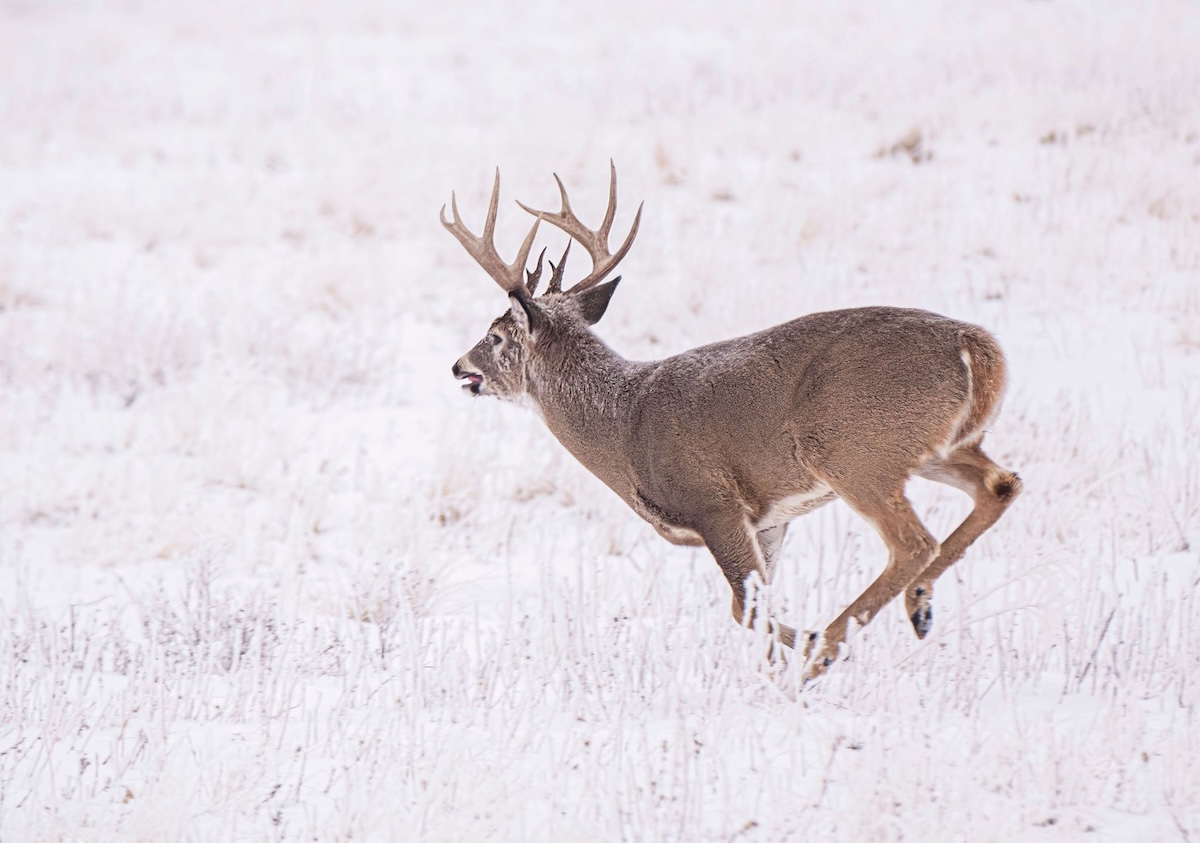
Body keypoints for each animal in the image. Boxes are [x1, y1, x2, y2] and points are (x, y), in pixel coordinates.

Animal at [443, 163, 1021, 679]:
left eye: (495, 336)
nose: (458, 366)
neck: (623, 427)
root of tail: (975, 344)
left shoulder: (713, 502)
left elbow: (745, 606)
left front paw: (798, 653)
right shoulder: (769, 518)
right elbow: (750, 604)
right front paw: (789, 653)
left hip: (854, 449)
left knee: (914, 541)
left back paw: (826, 652)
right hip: (937, 445)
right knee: (1000, 485)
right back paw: (917, 608)